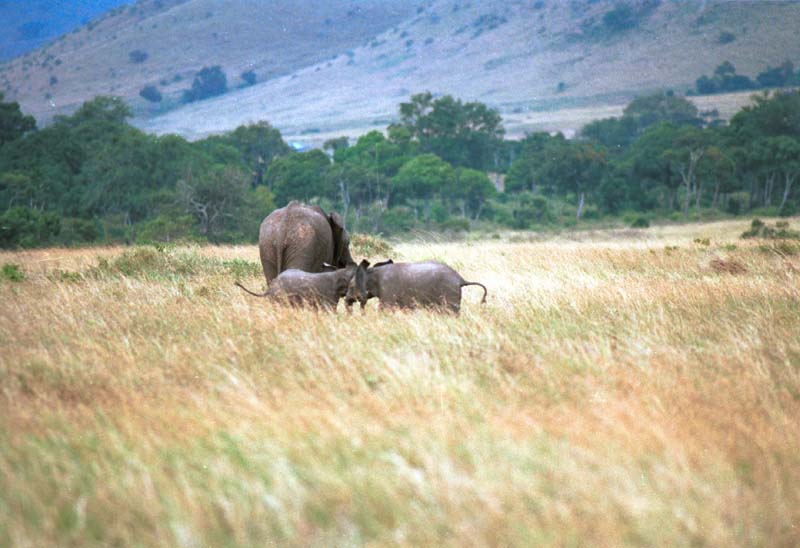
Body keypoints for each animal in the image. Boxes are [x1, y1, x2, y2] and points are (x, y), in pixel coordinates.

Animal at [345, 259, 487, 314]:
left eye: (351, 287)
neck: (372, 271)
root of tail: (461, 279)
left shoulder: (387, 289)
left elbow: (385, 308)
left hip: (449, 291)